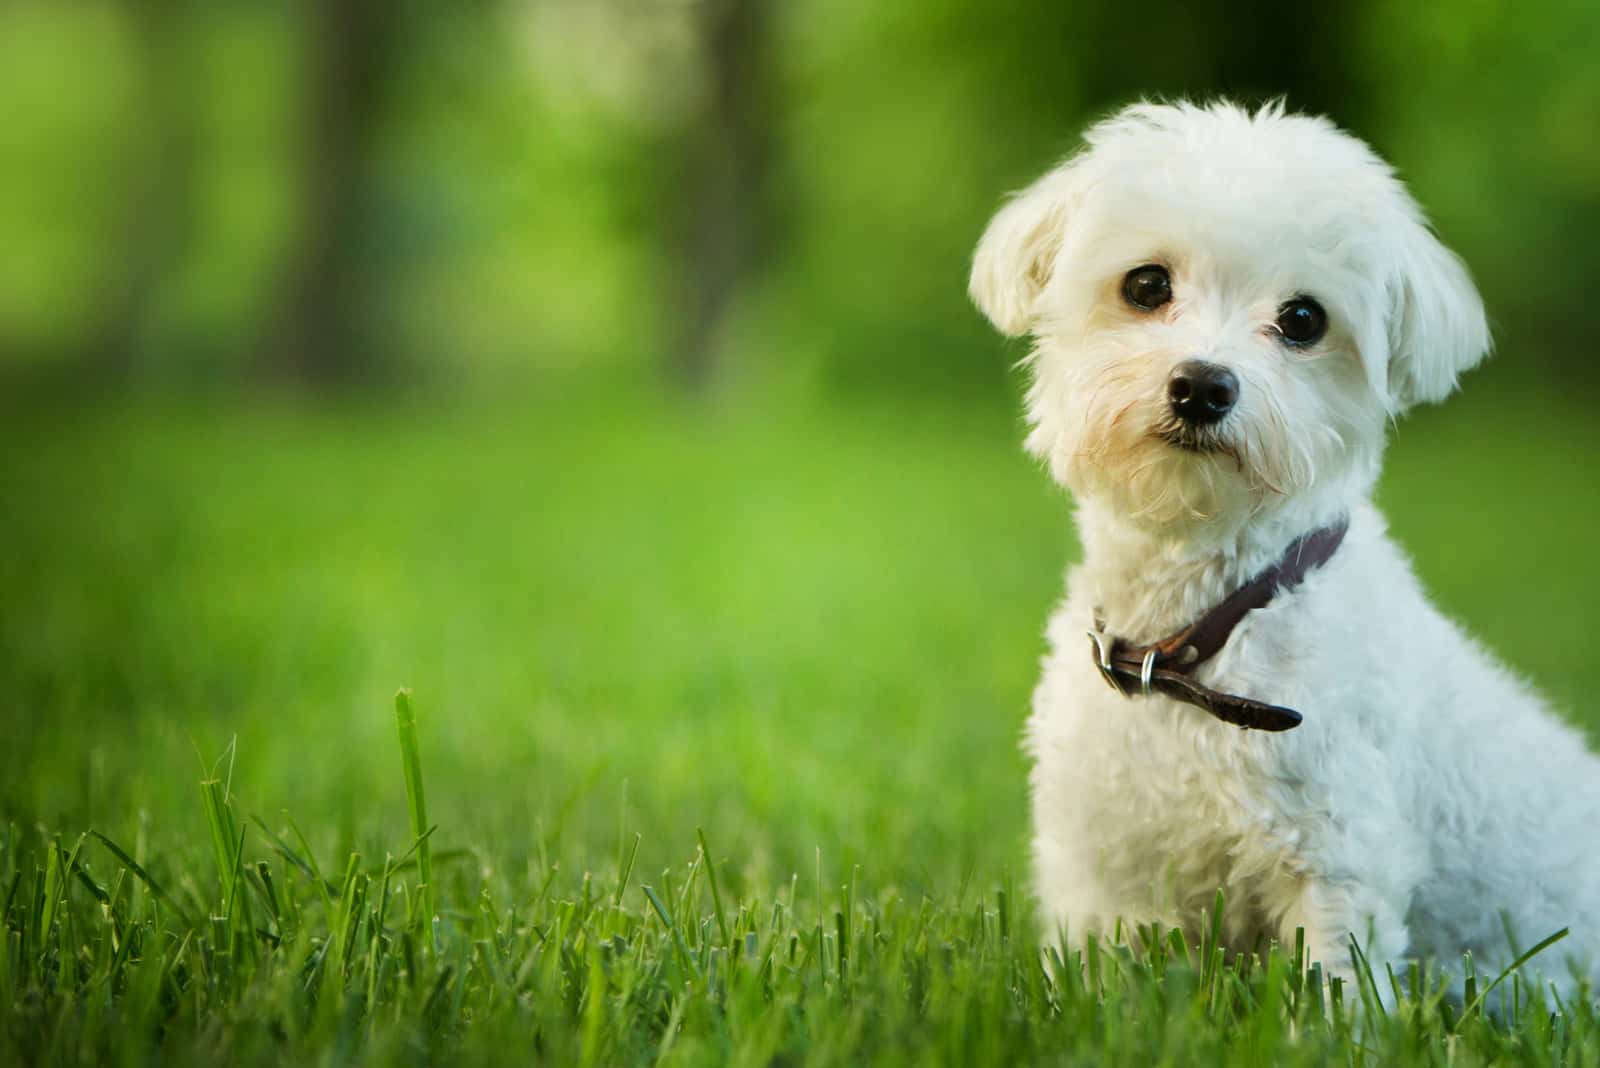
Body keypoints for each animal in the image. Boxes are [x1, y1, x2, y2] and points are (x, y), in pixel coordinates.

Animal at [966, 97, 1593, 991]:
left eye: (1303, 320)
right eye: (1146, 285)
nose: (1202, 385)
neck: (1197, 634)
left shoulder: (1340, 857)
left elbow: (1333, 986)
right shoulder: (1105, 872)